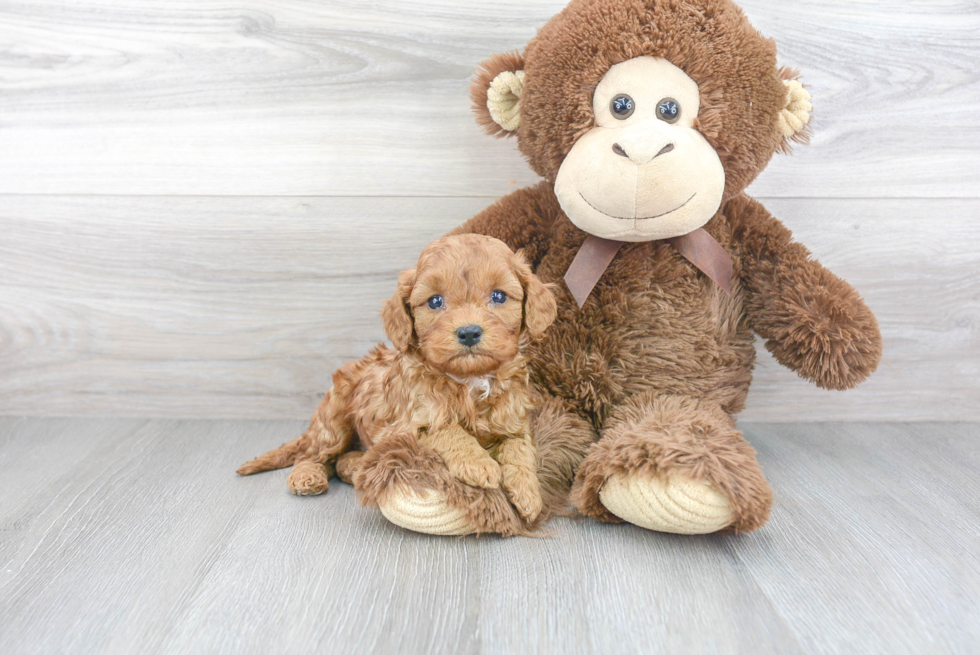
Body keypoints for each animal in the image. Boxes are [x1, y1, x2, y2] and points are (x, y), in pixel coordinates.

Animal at [235, 236, 560, 524]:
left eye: (498, 296)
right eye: (435, 301)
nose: (469, 332)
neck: (469, 381)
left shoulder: (514, 421)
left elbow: (520, 448)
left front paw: (529, 492)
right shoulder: (405, 425)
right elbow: (447, 430)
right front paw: (478, 463)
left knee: (340, 461)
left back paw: (358, 467)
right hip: (334, 418)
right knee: (314, 454)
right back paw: (307, 476)